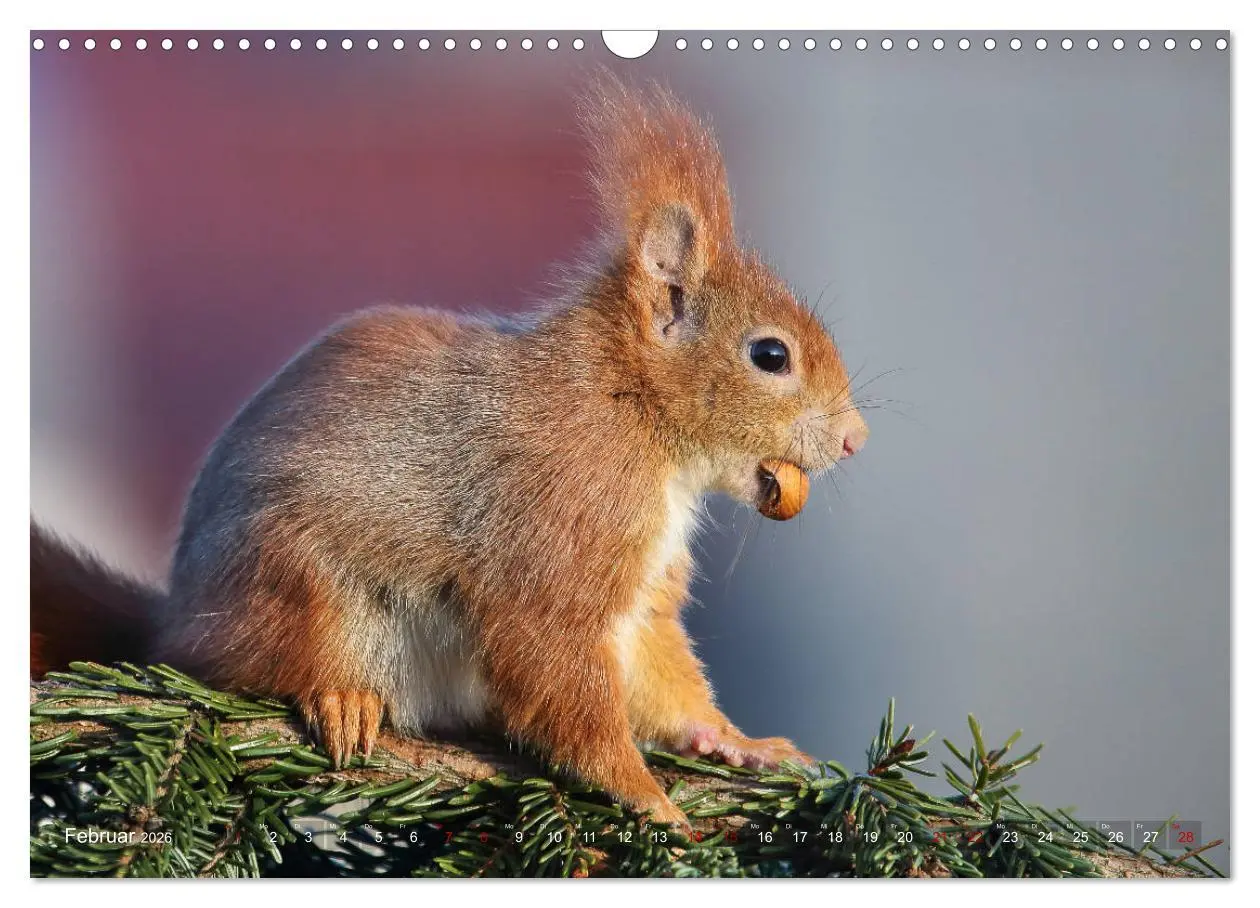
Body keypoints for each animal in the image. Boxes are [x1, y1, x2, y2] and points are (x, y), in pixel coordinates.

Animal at [30, 77, 869, 828]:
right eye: (770, 355)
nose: (856, 439)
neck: (631, 415)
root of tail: (176, 617)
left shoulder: (641, 591)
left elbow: (659, 673)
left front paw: (736, 741)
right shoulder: (558, 531)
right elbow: (559, 663)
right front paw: (645, 793)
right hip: (299, 589)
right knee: (256, 671)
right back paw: (341, 698)